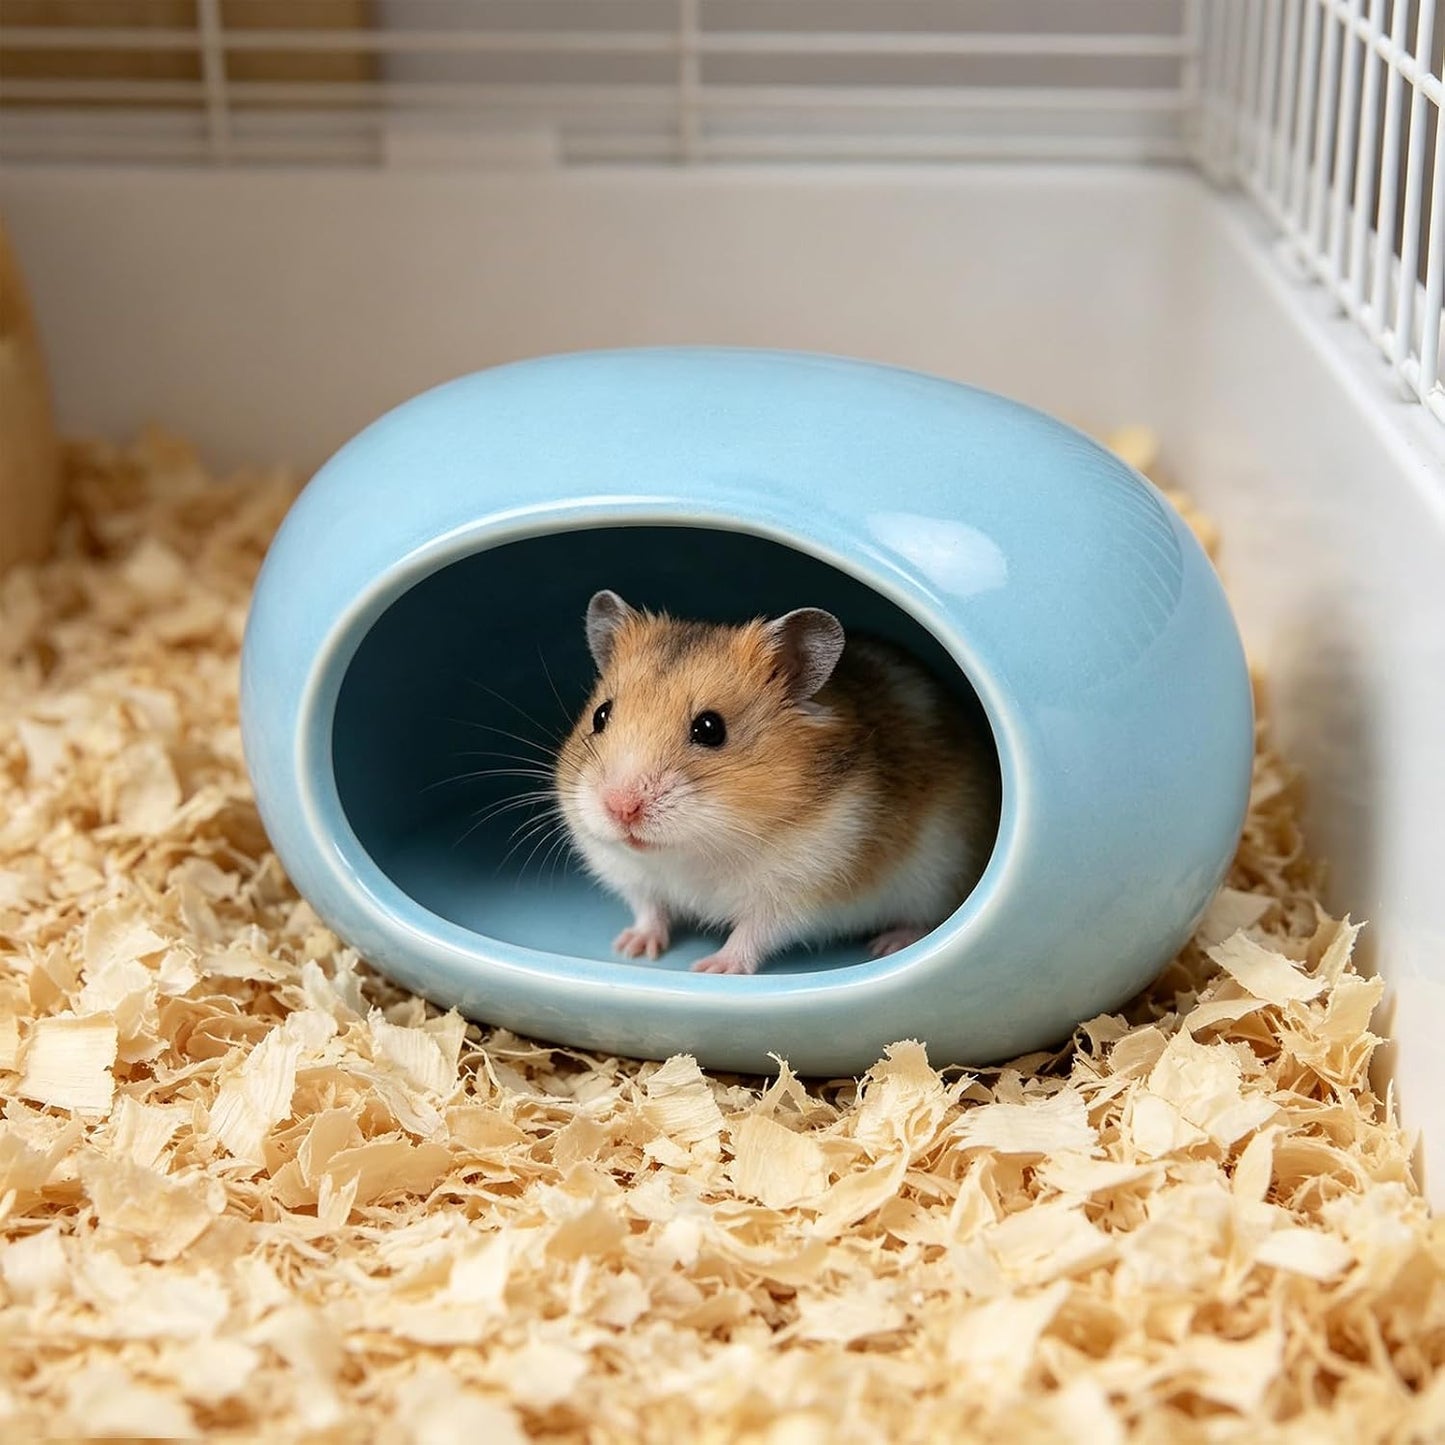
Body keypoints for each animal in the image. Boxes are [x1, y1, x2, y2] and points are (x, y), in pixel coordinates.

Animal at [554, 590, 1000, 976]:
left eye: (710, 729)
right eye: (601, 716)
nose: (620, 807)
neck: (695, 850)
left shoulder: (798, 890)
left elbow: (754, 932)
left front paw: (714, 969)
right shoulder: (632, 875)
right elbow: (650, 909)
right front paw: (630, 947)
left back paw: (891, 943)